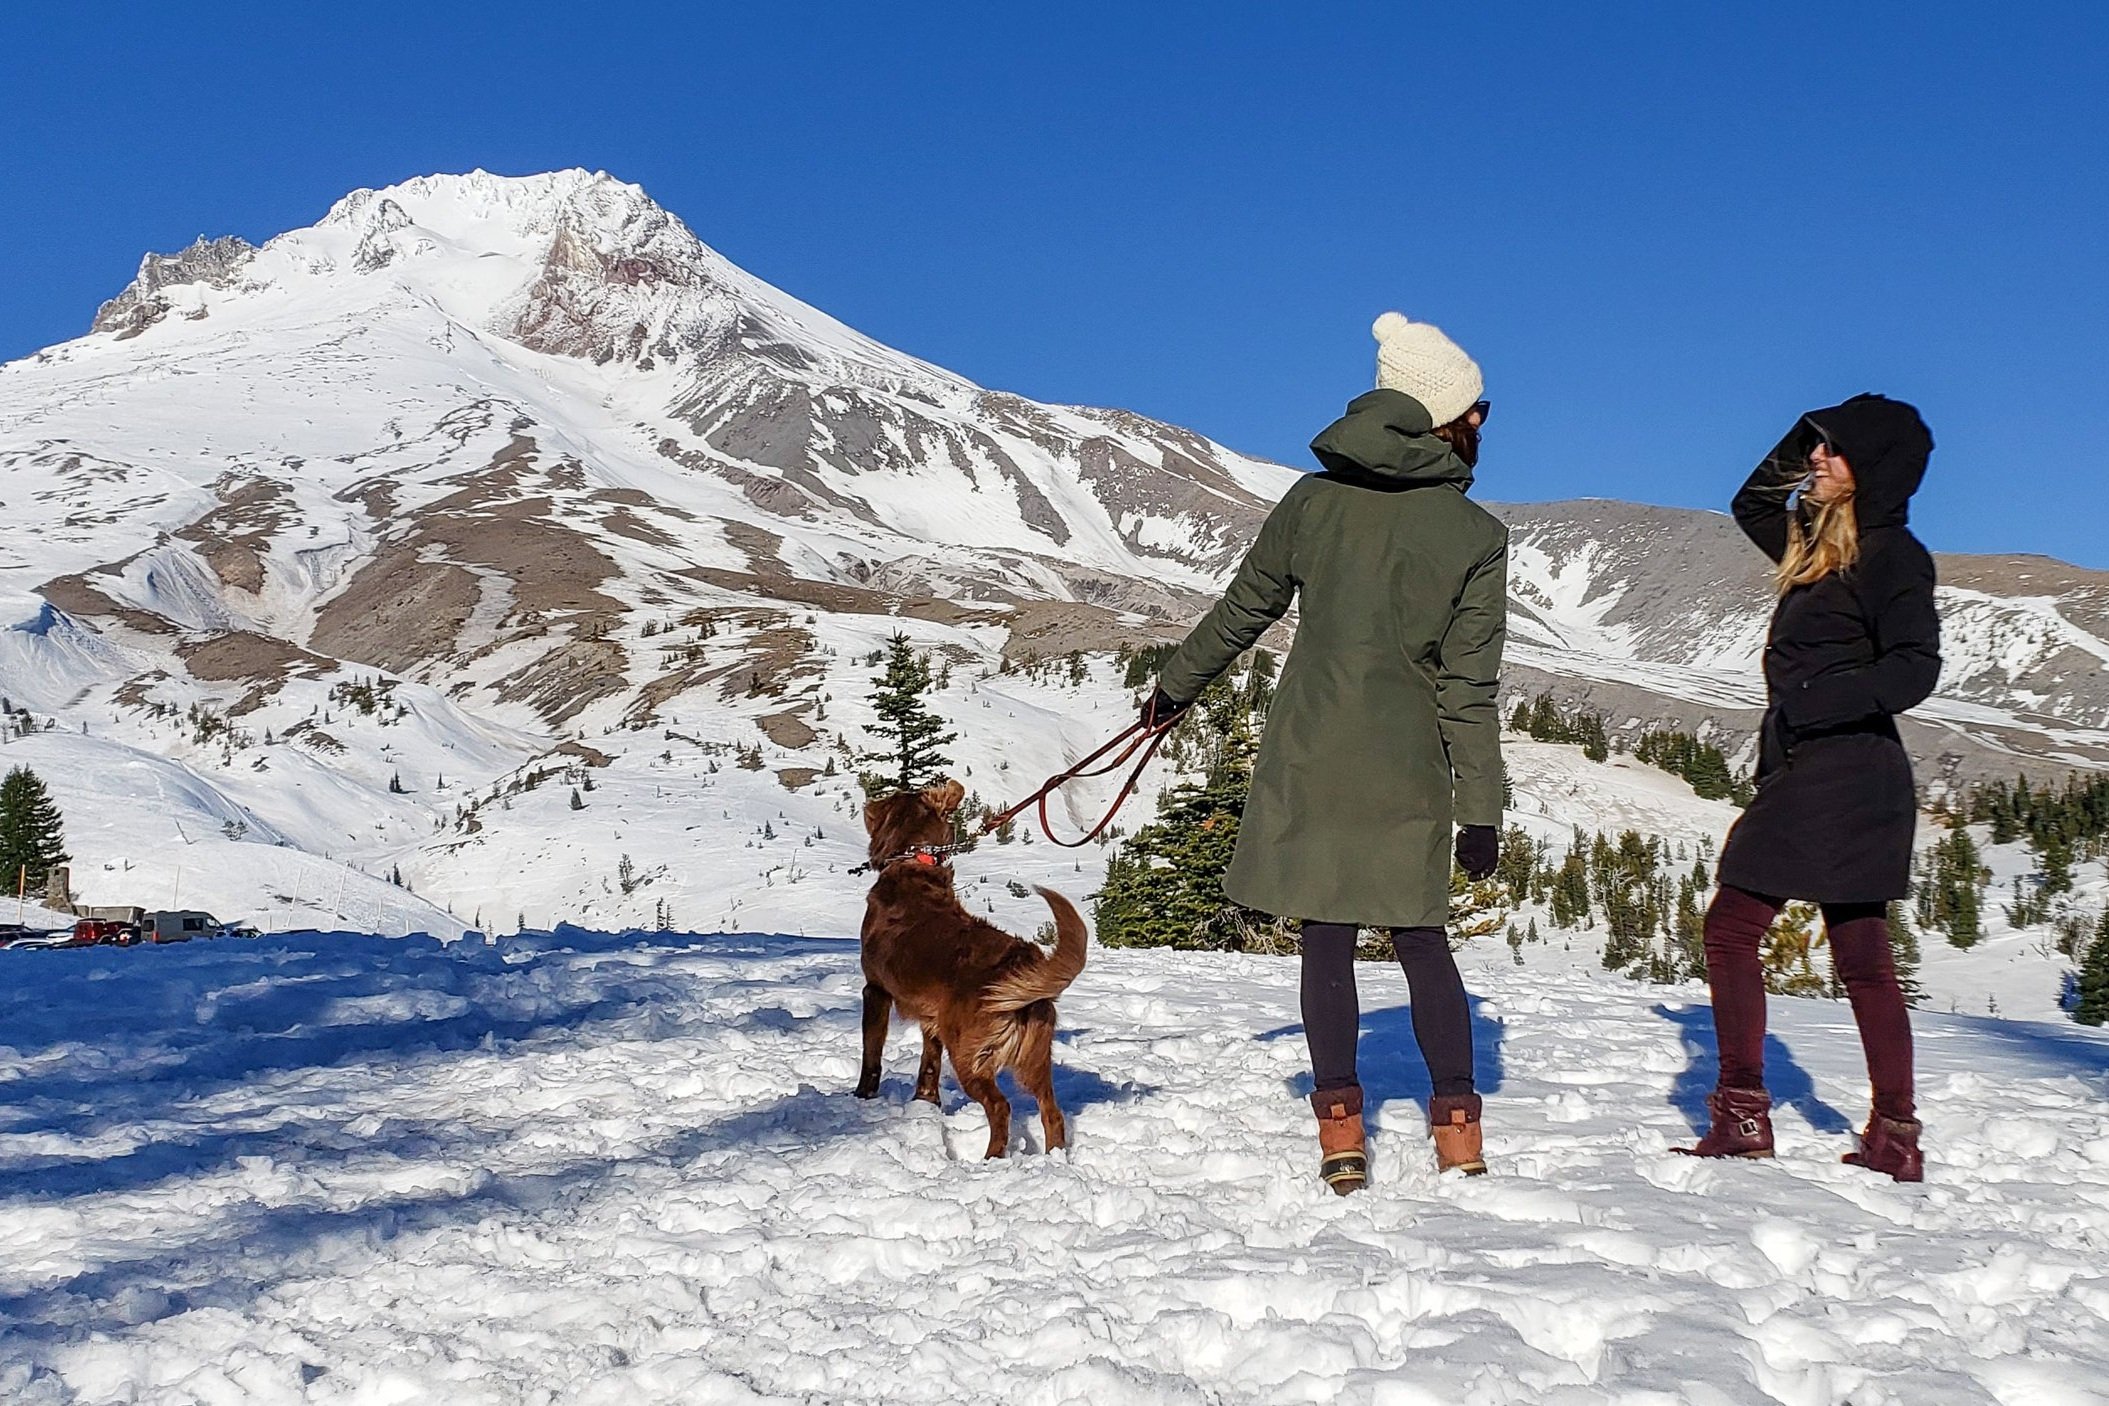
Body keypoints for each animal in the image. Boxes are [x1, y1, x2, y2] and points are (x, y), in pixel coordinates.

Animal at [856, 775, 1088, 1163]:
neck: (914, 862)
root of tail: (1019, 963)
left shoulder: (875, 990)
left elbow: (870, 1055)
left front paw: (861, 1097)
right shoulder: (933, 1018)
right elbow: (929, 1063)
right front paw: (925, 1102)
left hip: (970, 1054)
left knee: (1000, 1107)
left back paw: (991, 1158)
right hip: (1035, 1057)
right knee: (1051, 1111)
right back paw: (1054, 1157)